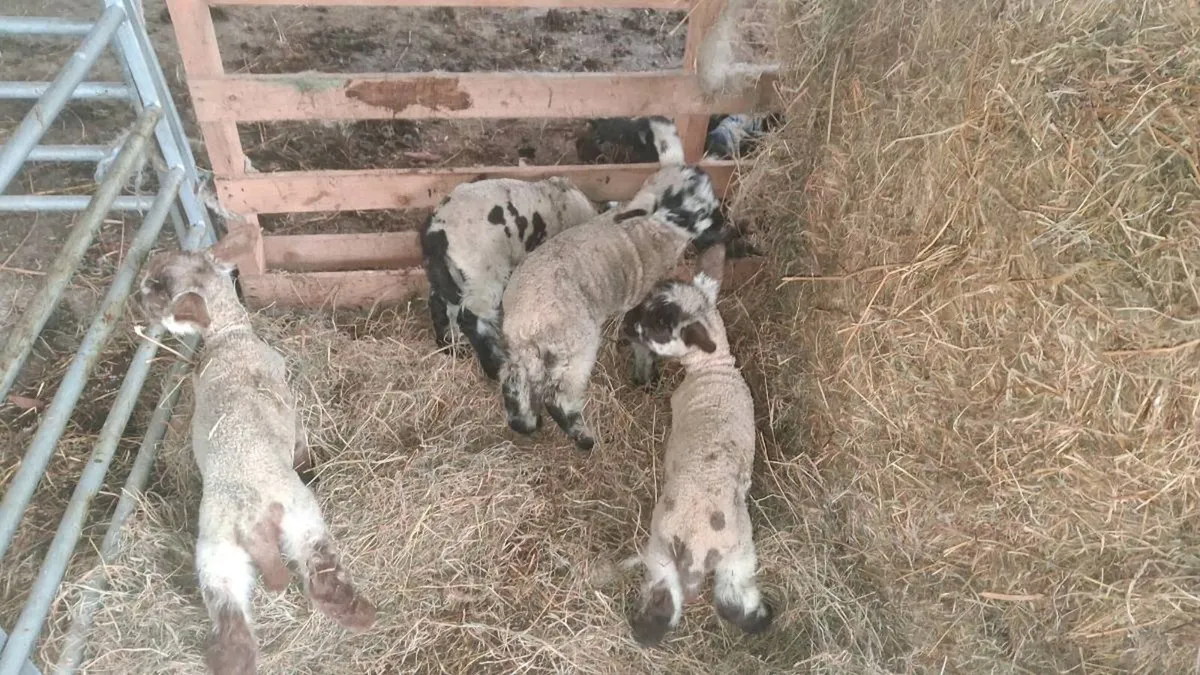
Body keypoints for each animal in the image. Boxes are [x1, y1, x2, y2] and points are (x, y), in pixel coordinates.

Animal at [135, 247, 376, 675]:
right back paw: (364, 617)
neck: (231, 335)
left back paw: (233, 662)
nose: (135, 296)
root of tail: (252, 525)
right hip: (301, 518)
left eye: (158, 285)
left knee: (232, 620)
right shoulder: (289, 400)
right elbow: (300, 437)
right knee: (325, 578)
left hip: (217, 557)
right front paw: (307, 463)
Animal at [420, 176, 599, 380]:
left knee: (438, 305)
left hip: (447, 277)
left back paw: (448, 348)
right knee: (471, 320)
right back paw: (493, 367)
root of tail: (436, 231)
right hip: (482, 278)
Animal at [499, 164, 723, 451]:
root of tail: (525, 324)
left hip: (525, 354)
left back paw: (526, 423)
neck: (654, 229)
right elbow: (642, 341)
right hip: (576, 347)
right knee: (558, 398)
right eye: (700, 209)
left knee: (514, 382)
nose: (723, 223)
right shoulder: (642, 299)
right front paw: (645, 376)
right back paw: (585, 439)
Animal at [621, 243, 773, 646]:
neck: (713, 370)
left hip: (677, 549)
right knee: (725, 602)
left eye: (658, 326)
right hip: (721, 556)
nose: (626, 320)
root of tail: (695, 545)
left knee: (684, 601)